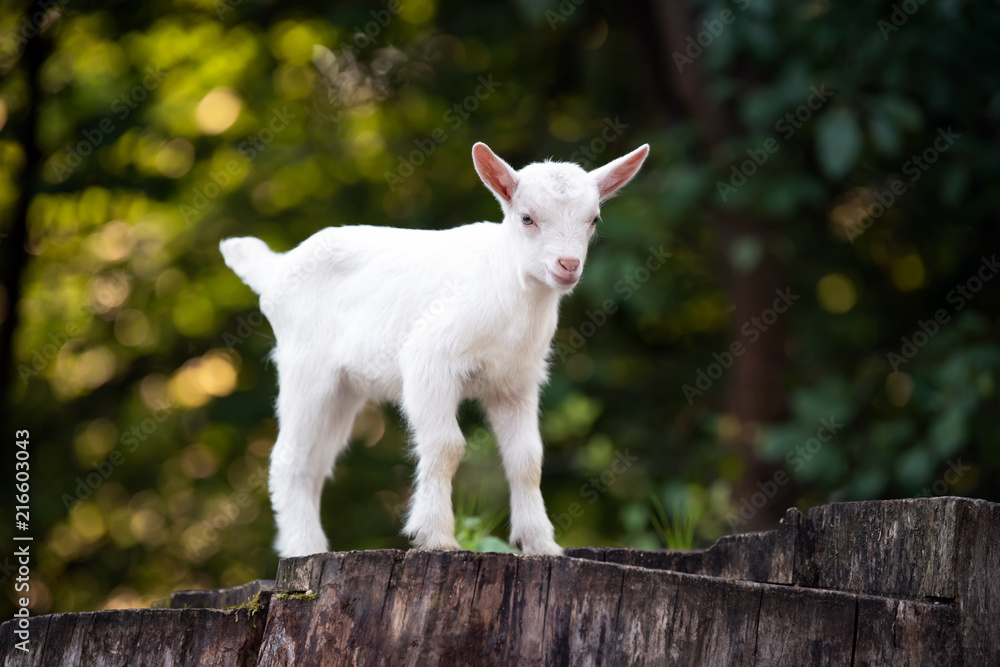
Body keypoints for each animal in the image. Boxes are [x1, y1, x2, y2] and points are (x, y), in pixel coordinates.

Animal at [221, 142, 648, 560]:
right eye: (527, 218)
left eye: (594, 219)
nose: (568, 265)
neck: (506, 286)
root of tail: (274, 269)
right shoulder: (430, 359)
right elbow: (446, 446)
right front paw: (437, 537)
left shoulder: (516, 382)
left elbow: (527, 459)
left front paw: (541, 544)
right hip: (306, 367)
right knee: (288, 459)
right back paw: (303, 548)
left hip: (345, 390)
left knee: (317, 463)